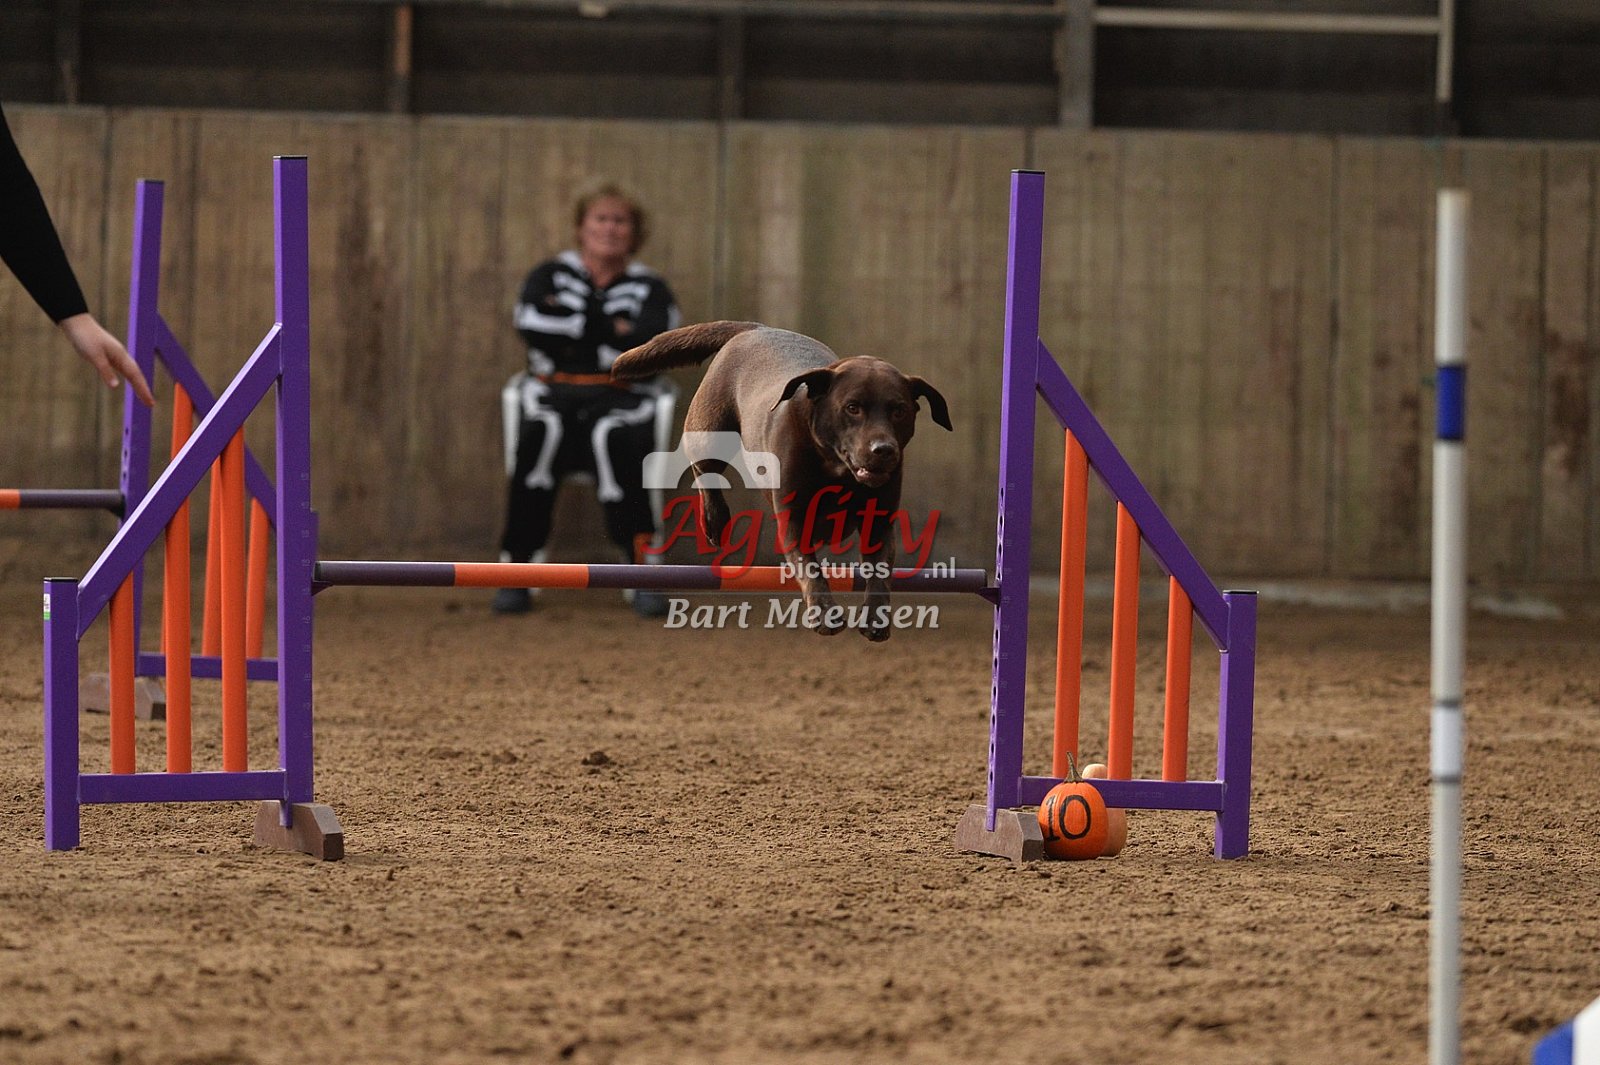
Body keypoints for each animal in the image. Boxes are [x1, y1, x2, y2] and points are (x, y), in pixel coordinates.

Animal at [610, 321, 950, 641]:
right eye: (852, 408)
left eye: (899, 410)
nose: (884, 450)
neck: (837, 471)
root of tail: (755, 328)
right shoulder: (794, 520)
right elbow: (810, 568)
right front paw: (825, 615)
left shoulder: (878, 523)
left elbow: (879, 570)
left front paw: (875, 621)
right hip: (708, 429)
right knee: (704, 470)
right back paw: (715, 521)